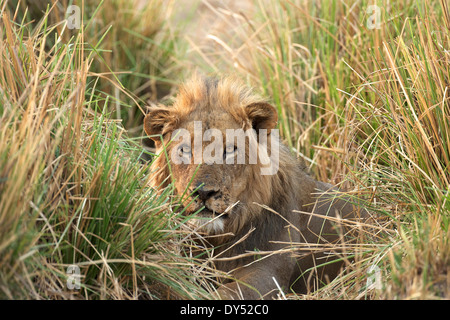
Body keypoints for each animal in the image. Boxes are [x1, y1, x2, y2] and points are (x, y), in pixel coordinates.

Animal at [143, 75, 366, 300]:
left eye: (229, 150)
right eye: (185, 150)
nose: (204, 192)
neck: (215, 241)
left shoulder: (268, 274)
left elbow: (227, 293)